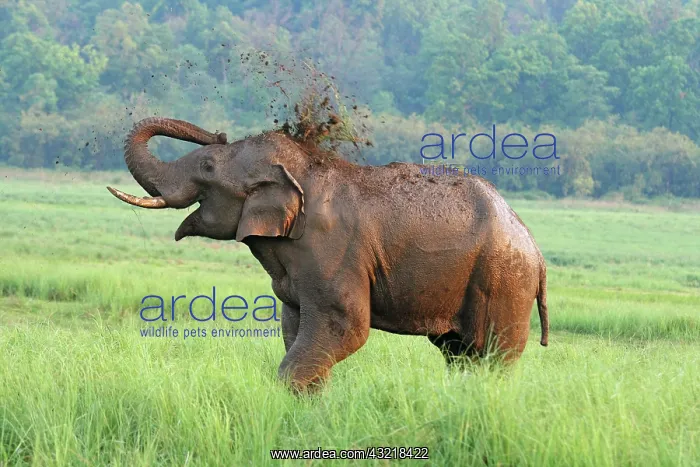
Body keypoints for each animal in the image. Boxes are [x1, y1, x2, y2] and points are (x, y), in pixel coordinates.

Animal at [108, 117, 549, 392]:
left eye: (207, 166)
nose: (217, 131)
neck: (303, 168)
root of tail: (535, 247)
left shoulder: (331, 251)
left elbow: (345, 327)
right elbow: (295, 329)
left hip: (504, 281)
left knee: (493, 356)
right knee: (459, 355)